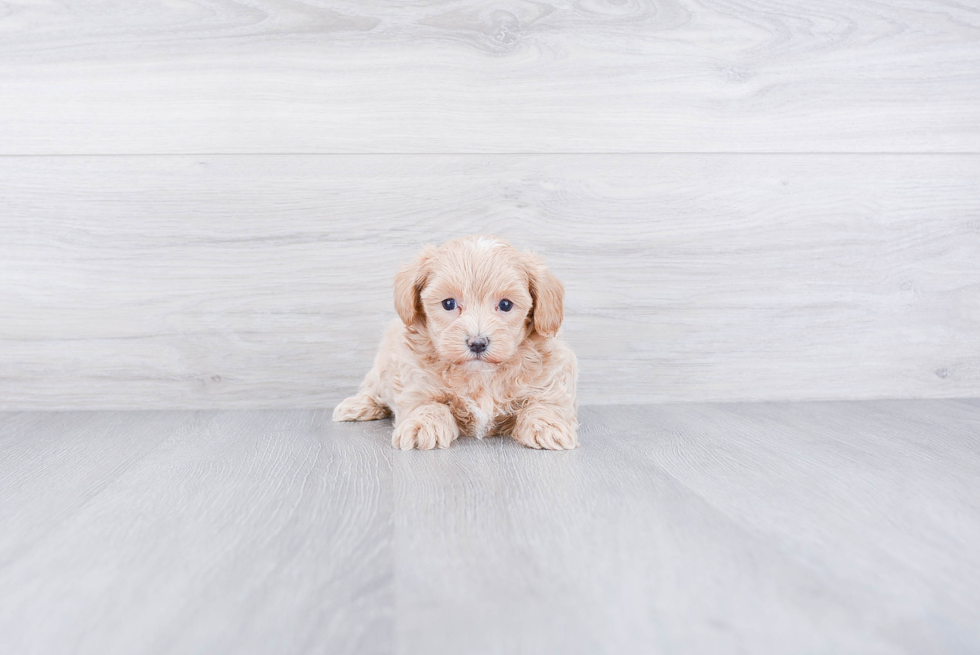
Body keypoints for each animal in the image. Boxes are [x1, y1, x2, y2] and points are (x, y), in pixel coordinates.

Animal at [334, 236, 580, 452]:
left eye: (506, 305)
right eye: (449, 304)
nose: (477, 343)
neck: (480, 376)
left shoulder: (552, 375)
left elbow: (545, 403)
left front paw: (548, 427)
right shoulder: (415, 378)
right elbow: (428, 403)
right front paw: (423, 425)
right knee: (373, 387)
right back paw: (357, 405)